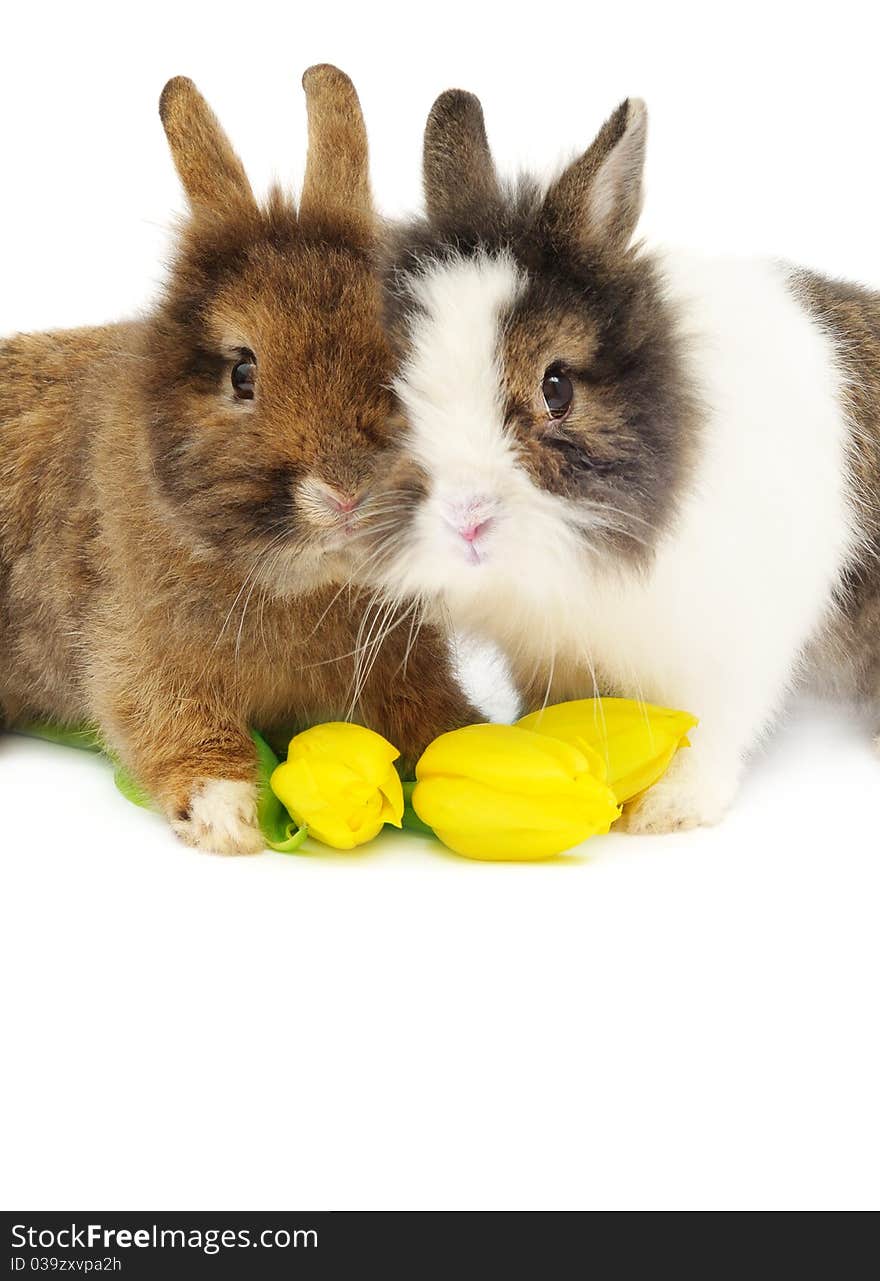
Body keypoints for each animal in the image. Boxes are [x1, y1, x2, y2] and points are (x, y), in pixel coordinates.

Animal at [0, 67, 479, 850]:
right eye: (242, 372)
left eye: (404, 358)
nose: (349, 493)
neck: (307, 582)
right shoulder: (139, 654)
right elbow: (174, 727)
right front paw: (228, 817)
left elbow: (433, 717)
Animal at [374, 90, 880, 830]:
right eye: (393, 388)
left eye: (556, 386)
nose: (465, 519)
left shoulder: (733, 646)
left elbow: (711, 733)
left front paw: (669, 810)